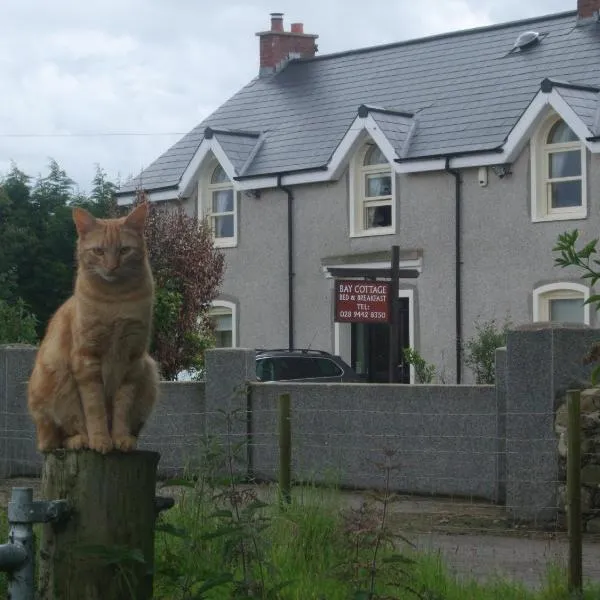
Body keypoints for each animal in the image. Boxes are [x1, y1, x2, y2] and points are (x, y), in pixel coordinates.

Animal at [27, 204, 159, 452]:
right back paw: (81, 440)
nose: (112, 267)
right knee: (55, 440)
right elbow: (94, 408)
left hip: (149, 372)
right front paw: (100, 440)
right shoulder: (87, 359)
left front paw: (120, 438)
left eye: (124, 250)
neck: (115, 299)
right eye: (98, 251)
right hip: (57, 380)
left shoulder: (133, 359)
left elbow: (122, 408)